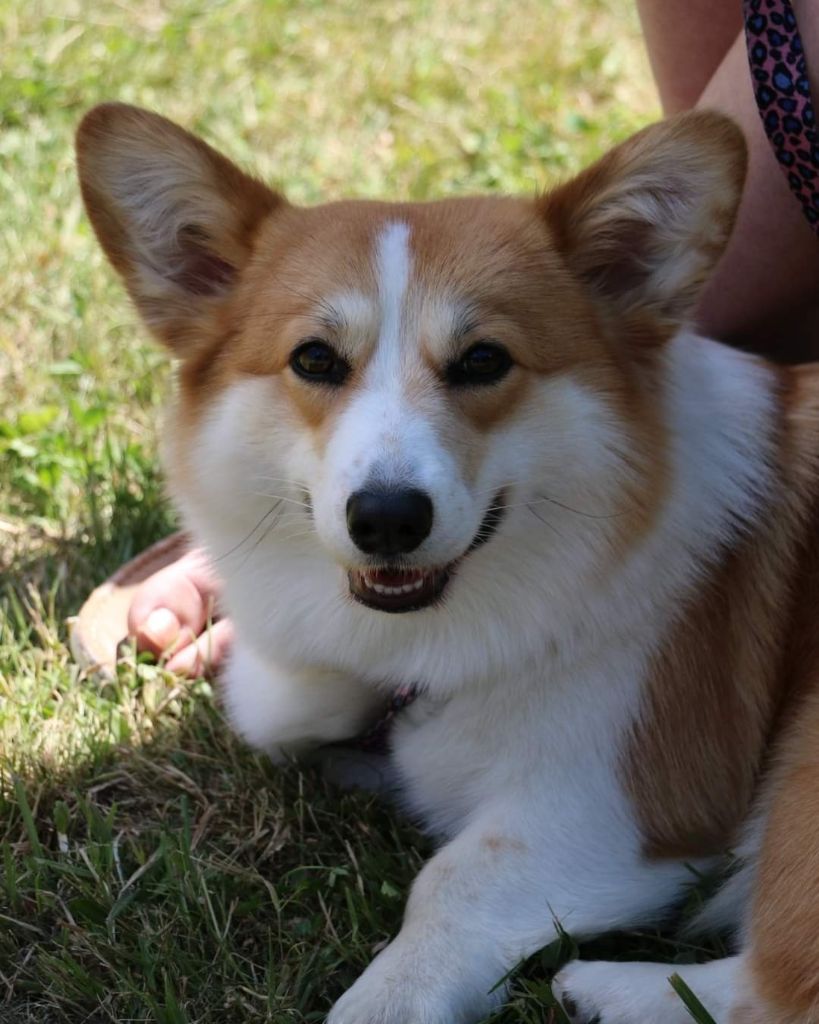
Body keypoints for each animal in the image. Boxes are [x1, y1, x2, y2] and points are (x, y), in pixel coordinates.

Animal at [76, 105, 818, 1024]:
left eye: (483, 360)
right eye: (314, 359)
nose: (387, 519)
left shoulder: (612, 804)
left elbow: (449, 885)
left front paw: (387, 999)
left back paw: (607, 986)